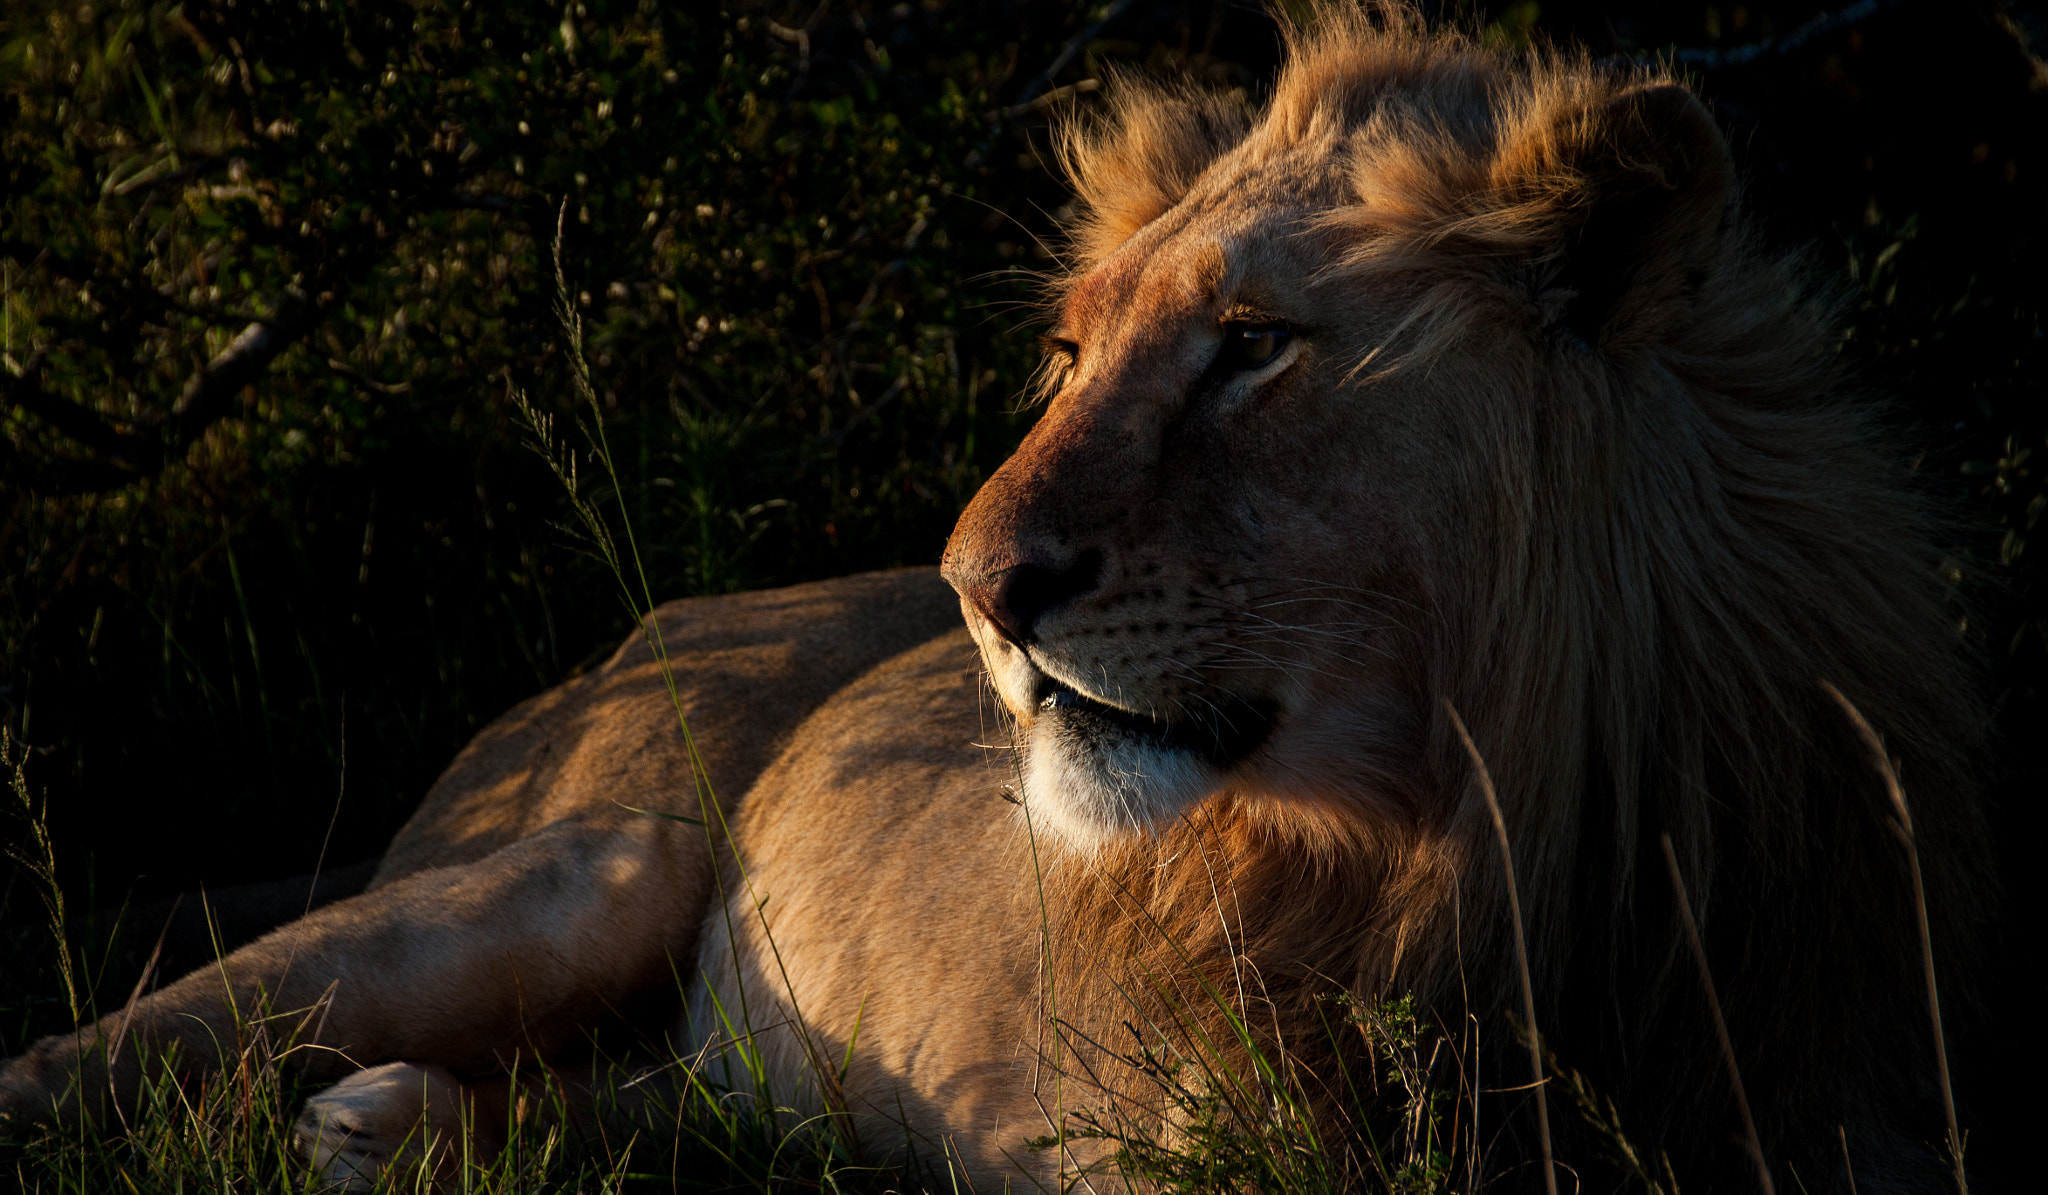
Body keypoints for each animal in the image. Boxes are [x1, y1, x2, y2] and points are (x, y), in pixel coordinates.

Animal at [0, 8, 1992, 1192]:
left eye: (1251, 346)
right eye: (1072, 351)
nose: (973, 590)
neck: (1474, 866)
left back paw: (394, 1126)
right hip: (570, 866)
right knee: (78, 1059)